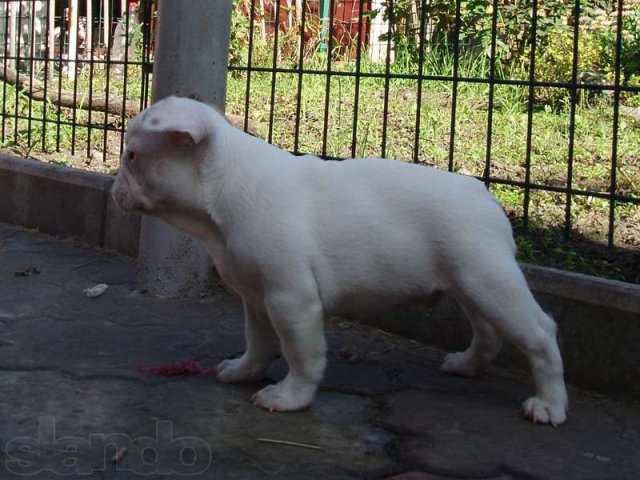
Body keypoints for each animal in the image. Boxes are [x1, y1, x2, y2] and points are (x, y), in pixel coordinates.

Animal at [112, 95, 568, 426]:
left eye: (132, 156)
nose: (115, 186)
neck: (221, 192)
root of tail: (482, 193)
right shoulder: (257, 298)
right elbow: (258, 341)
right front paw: (244, 370)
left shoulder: (291, 299)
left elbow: (302, 354)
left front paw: (290, 397)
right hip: (468, 282)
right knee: (487, 330)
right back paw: (468, 364)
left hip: (488, 280)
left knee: (540, 334)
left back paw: (548, 404)